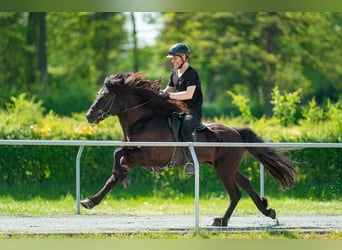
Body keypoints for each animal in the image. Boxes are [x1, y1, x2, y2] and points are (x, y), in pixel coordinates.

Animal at [81, 72, 296, 227]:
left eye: (104, 97)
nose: (89, 115)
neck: (144, 120)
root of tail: (236, 131)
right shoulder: (134, 156)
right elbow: (113, 174)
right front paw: (91, 200)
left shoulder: (148, 156)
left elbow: (117, 153)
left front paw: (123, 176)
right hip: (226, 167)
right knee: (247, 185)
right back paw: (266, 211)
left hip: (224, 169)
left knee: (235, 193)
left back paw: (222, 221)